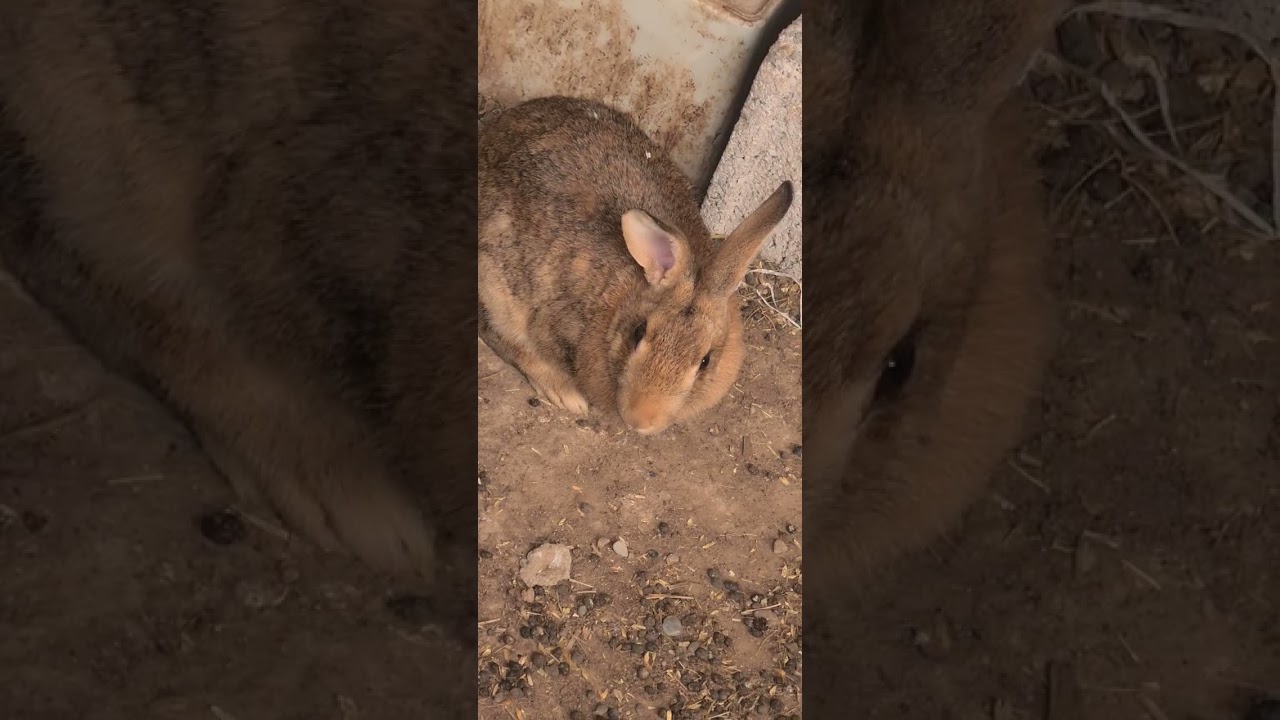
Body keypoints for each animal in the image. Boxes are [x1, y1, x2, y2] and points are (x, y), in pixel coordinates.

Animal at [478, 96, 793, 435]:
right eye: (639, 332)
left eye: (706, 361)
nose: (641, 420)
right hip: (495, 284)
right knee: (500, 335)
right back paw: (565, 394)